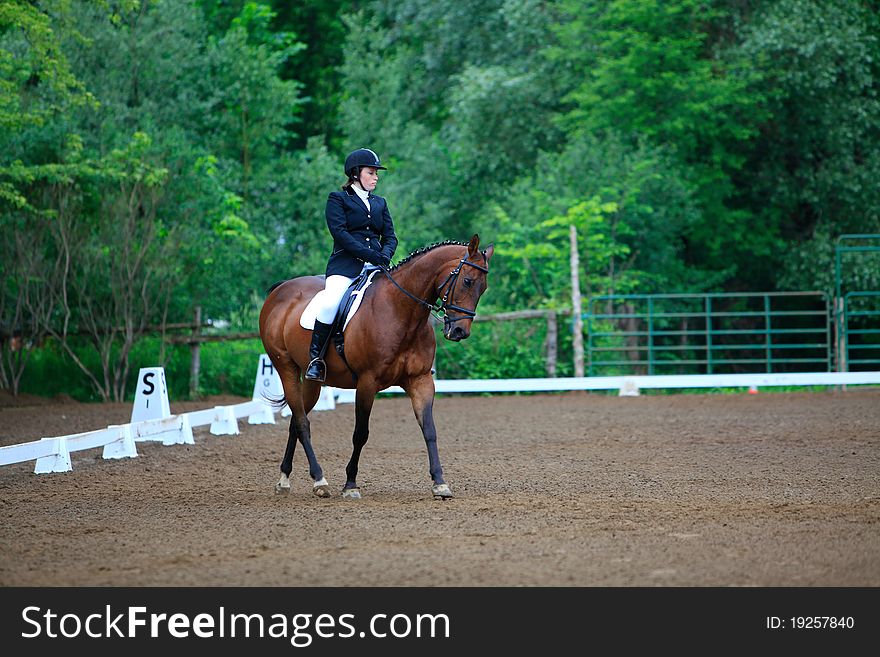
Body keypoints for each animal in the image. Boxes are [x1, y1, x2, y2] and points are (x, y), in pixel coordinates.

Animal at [260, 234, 496, 498]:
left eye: (483, 288)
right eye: (467, 281)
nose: (459, 332)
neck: (401, 311)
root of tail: (281, 289)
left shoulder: (421, 380)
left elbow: (429, 430)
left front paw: (440, 483)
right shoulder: (367, 382)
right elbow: (360, 434)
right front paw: (350, 484)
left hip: (313, 381)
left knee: (296, 420)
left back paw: (285, 479)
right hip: (285, 367)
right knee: (301, 422)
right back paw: (320, 480)